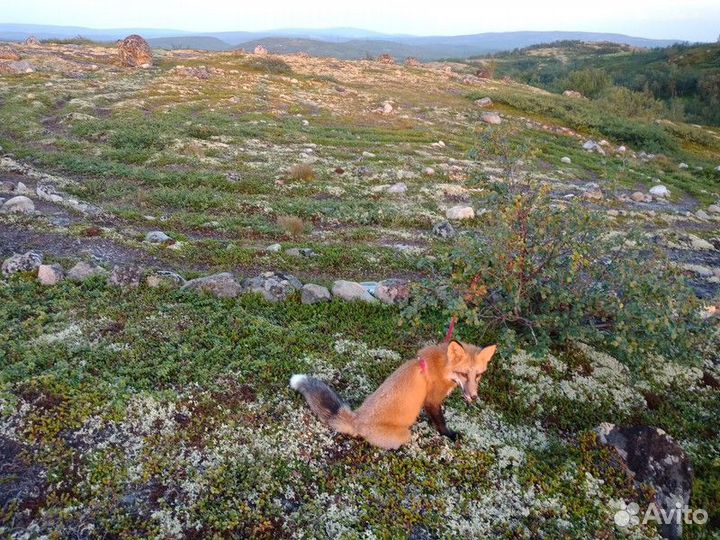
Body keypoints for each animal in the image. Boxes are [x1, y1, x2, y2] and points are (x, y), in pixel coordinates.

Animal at [290, 340, 498, 450]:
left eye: (478, 375)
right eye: (464, 374)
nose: (473, 397)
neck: (442, 368)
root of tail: (357, 419)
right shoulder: (432, 400)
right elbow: (440, 422)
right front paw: (449, 435)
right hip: (405, 434)